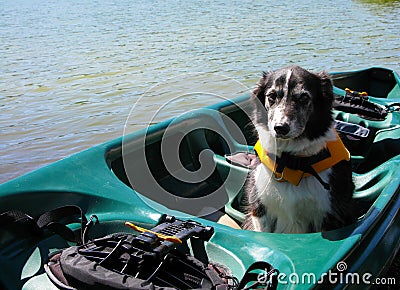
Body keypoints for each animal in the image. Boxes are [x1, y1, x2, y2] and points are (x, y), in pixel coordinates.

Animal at [242, 65, 354, 233]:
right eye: (272, 96)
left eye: (304, 98)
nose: (280, 128)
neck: (290, 161)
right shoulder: (259, 208)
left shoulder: (330, 215)